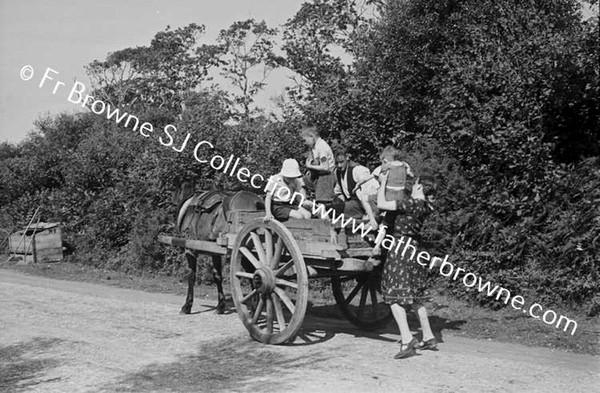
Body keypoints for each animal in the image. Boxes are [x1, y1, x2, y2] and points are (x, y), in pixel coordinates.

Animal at [170, 182, 262, 314]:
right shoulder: (215, 253)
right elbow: (217, 276)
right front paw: (221, 306)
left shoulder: (190, 250)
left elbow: (191, 276)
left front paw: (187, 305)